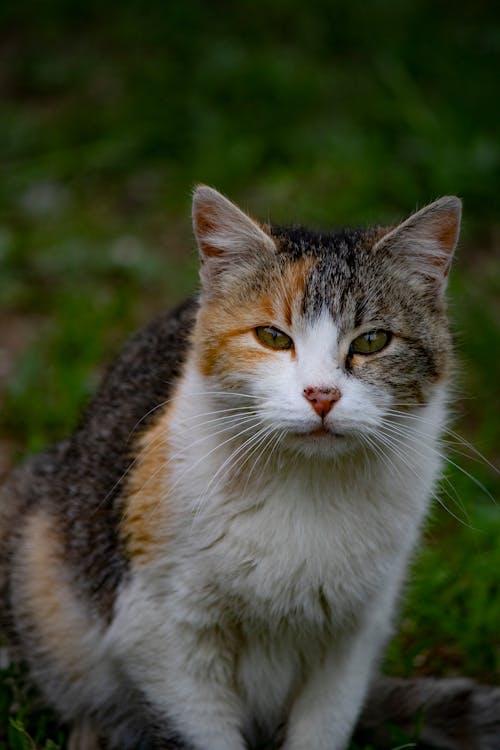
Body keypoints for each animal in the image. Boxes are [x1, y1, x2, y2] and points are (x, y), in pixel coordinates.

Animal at [0, 184, 500, 750]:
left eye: (372, 341)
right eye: (273, 337)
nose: (321, 394)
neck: (306, 489)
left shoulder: (353, 641)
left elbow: (321, 728)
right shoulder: (162, 634)